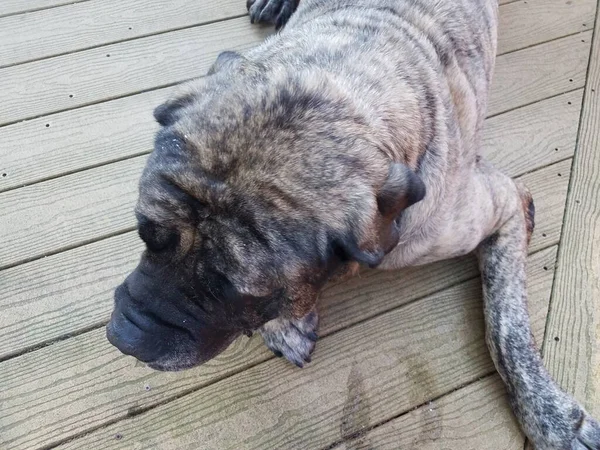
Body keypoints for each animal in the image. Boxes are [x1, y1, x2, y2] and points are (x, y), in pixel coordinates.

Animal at [106, 0, 600, 446]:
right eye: (145, 233)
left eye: (233, 291)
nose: (123, 338)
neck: (349, 77)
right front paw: (287, 322)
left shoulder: (503, 204)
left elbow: (507, 328)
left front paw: (554, 419)